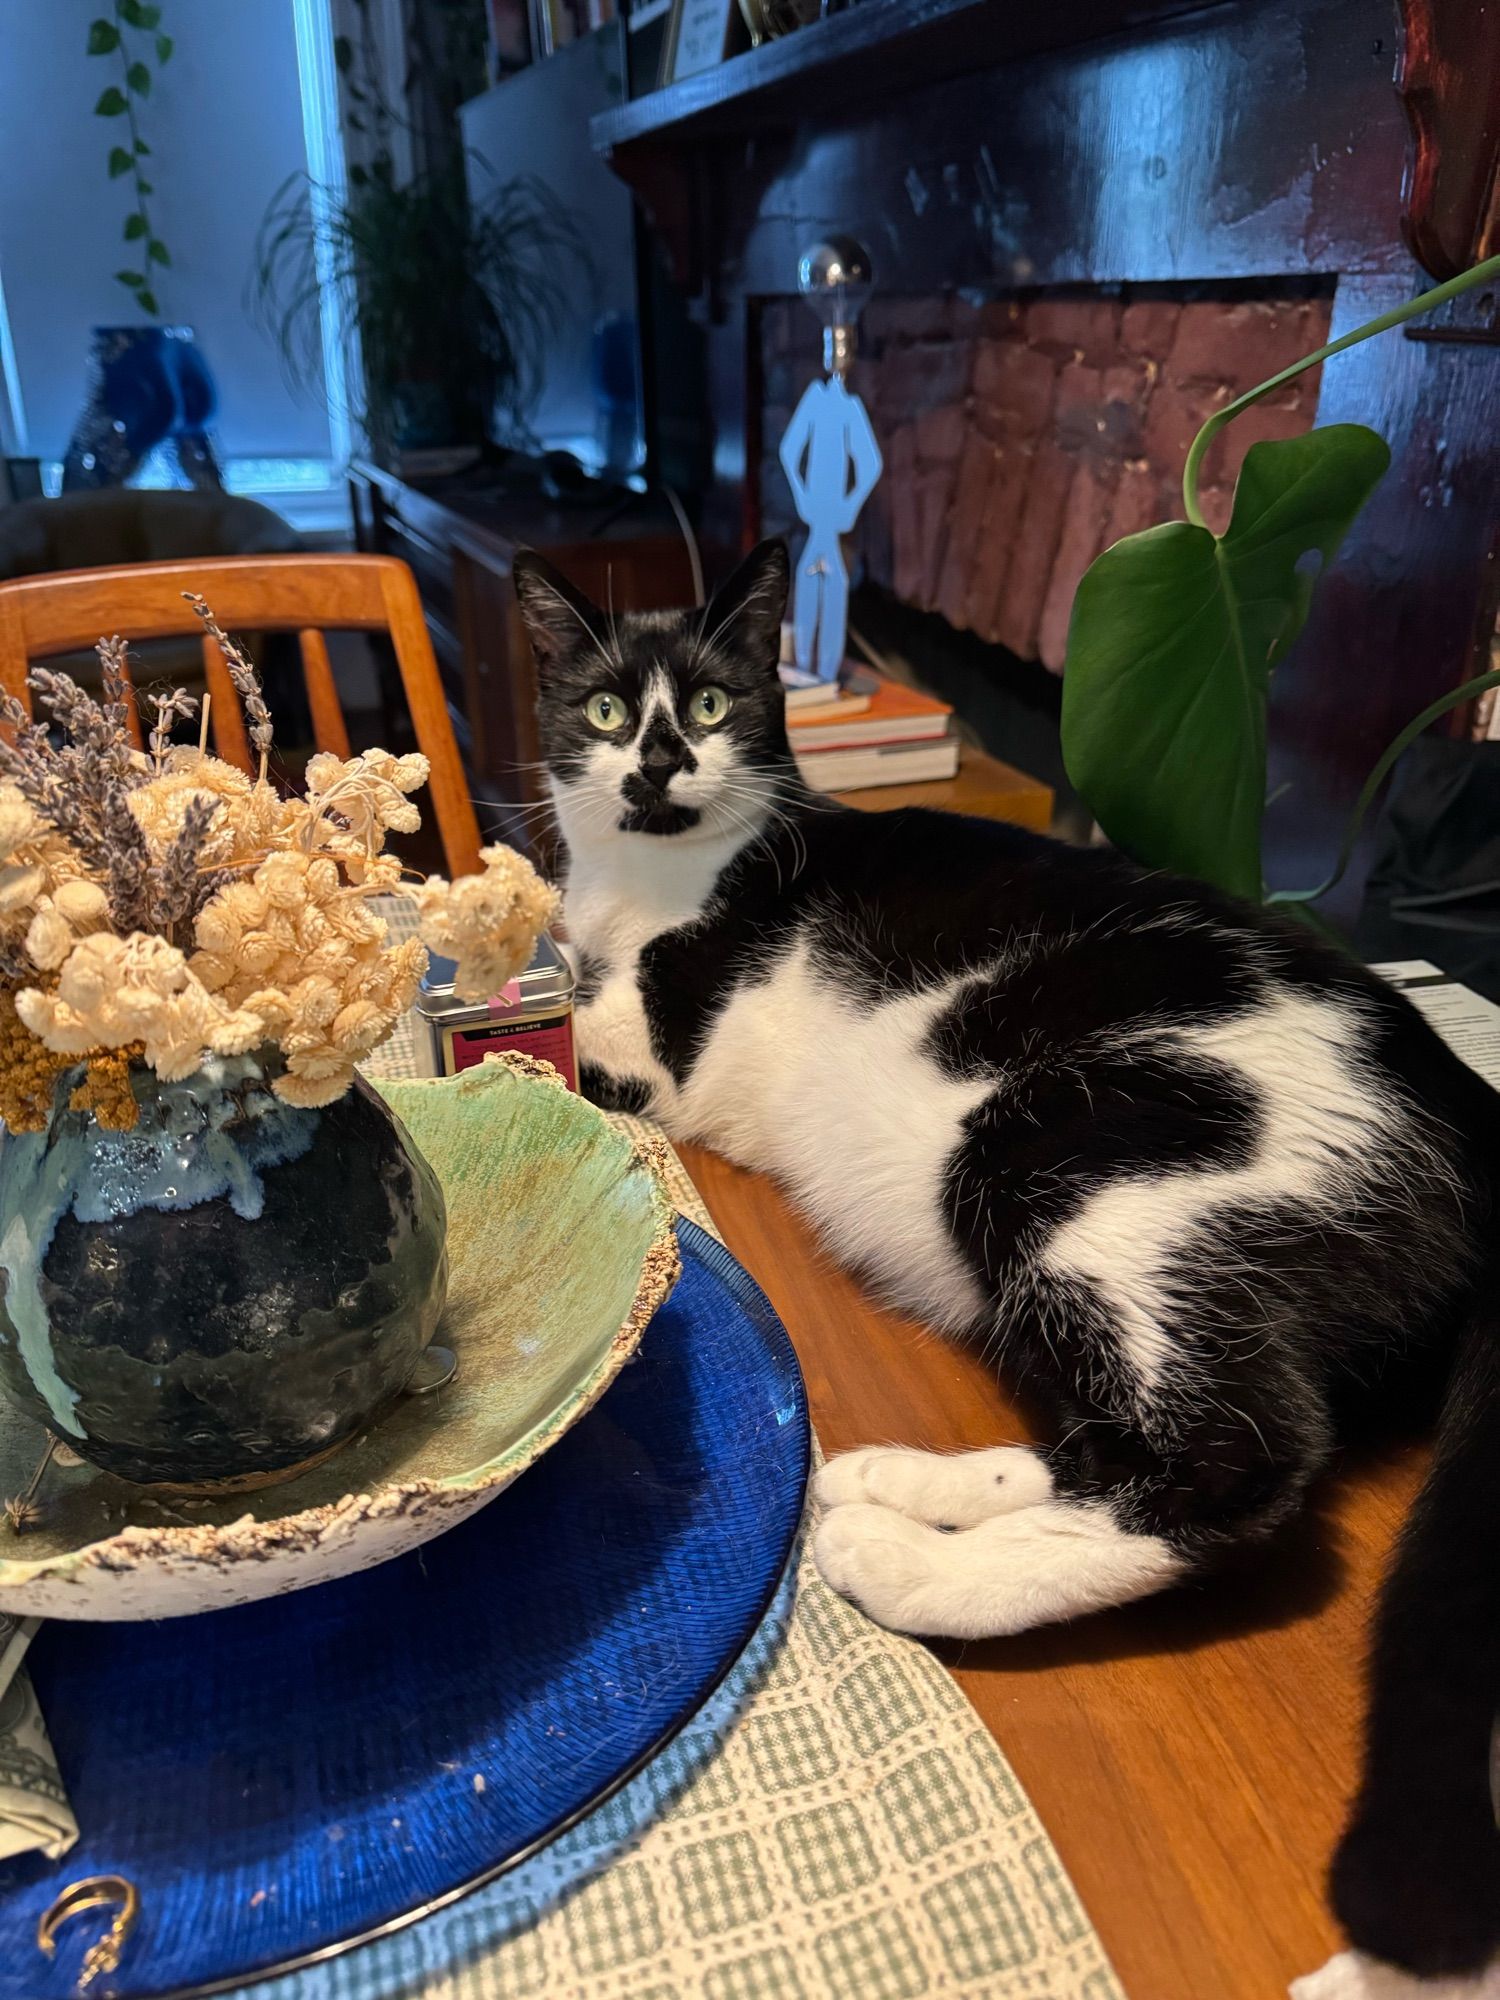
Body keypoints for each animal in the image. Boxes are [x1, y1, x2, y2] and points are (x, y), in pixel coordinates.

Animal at [516, 540, 1500, 1976]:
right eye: (599, 709)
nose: (655, 765)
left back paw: (910, 1565)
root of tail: (1467, 1103)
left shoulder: (654, 1052)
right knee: (1113, 1431)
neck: (652, 881)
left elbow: (575, 1035)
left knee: (1235, 1460)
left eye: (705, 706)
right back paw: (899, 1486)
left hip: (1059, 1150)